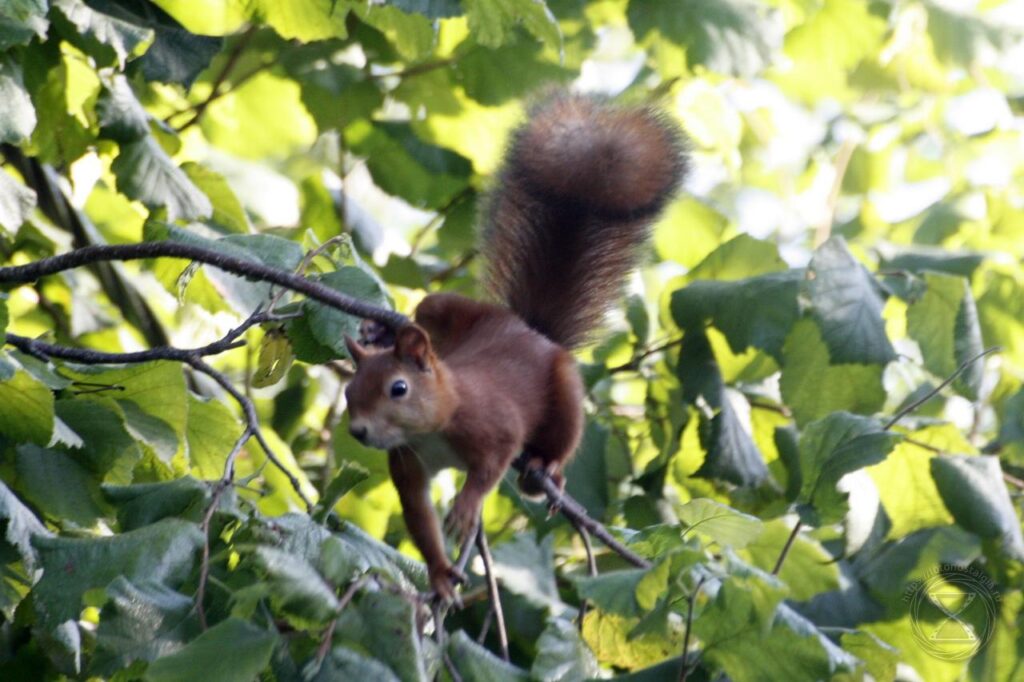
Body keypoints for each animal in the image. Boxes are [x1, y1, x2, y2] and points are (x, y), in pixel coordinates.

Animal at [343, 93, 688, 602]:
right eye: (349, 393)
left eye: (398, 389)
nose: (359, 431)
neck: (438, 418)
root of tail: (529, 331)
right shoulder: (408, 465)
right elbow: (419, 518)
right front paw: (440, 573)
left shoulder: (493, 424)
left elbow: (492, 464)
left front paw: (467, 508)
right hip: (445, 308)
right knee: (428, 310)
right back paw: (382, 331)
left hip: (564, 393)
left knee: (561, 437)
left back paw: (547, 468)